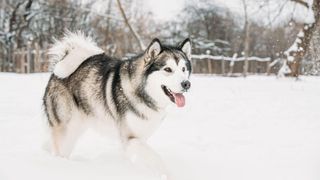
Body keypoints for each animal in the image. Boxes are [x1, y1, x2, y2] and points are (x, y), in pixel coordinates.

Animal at [42, 31, 192, 179]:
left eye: (183, 69)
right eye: (168, 69)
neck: (142, 92)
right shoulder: (129, 138)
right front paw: (167, 174)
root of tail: (55, 72)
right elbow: (155, 157)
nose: (186, 84)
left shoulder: (141, 137)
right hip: (66, 129)